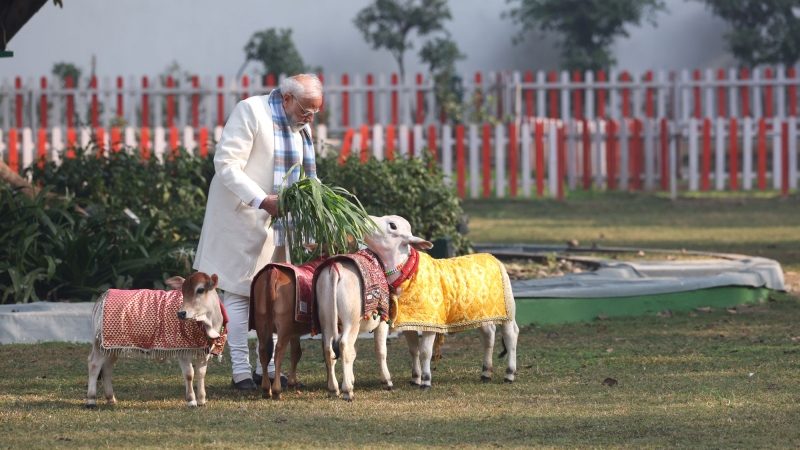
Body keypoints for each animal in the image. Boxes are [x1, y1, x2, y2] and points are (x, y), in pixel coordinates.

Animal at [85, 273, 226, 408]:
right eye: (182, 290)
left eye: (200, 290)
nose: (181, 313)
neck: (209, 324)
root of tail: (103, 296)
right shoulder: (182, 350)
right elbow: (189, 374)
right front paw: (191, 401)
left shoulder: (204, 350)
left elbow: (201, 373)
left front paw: (202, 400)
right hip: (100, 345)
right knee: (94, 364)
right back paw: (91, 400)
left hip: (112, 346)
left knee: (107, 368)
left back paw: (111, 399)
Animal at [363, 215, 519, 389]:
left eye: (392, 225)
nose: (364, 218)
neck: (407, 273)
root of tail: (494, 258)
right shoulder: (409, 322)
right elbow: (414, 350)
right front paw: (415, 378)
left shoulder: (431, 323)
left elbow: (425, 352)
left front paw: (425, 380)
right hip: (482, 313)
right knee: (489, 335)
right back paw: (486, 372)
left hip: (507, 310)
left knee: (510, 335)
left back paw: (509, 373)